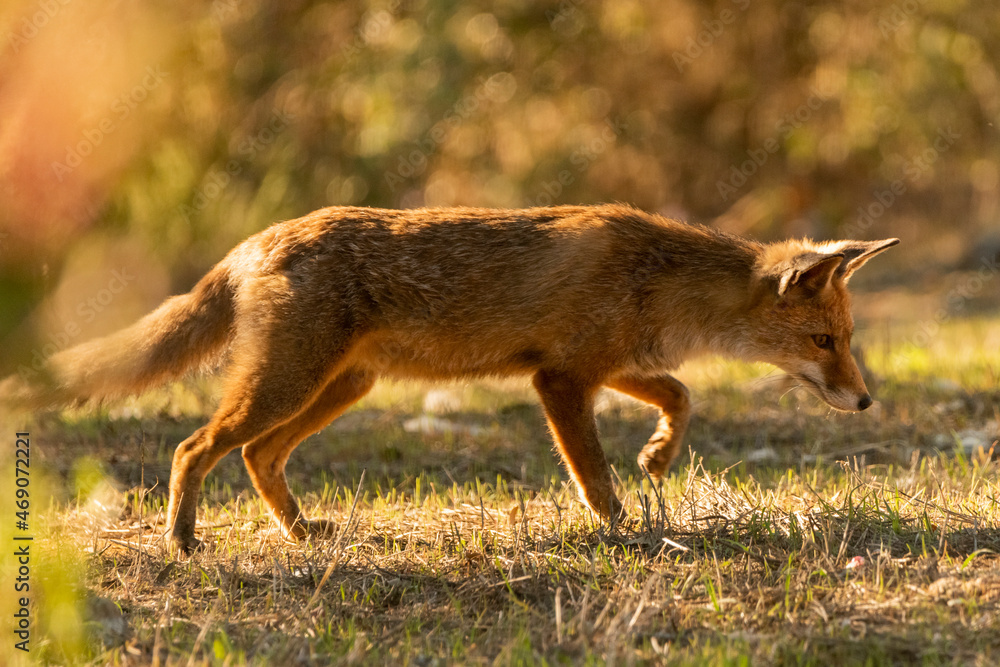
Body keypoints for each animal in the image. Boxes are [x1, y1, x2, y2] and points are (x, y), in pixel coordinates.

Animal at [0, 204, 897, 552]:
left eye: (848, 340)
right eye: (823, 340)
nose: (865, 398)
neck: (659, 279)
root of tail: (256, 240)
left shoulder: (602, 364)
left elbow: (681, 394)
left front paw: (658, 456)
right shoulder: (561, 379)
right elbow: (594, 476)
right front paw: (622, 527)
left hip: (338, 389)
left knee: (257, 456)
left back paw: (300, 532)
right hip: (291, 385)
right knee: (195, 447)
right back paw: (183, 538)